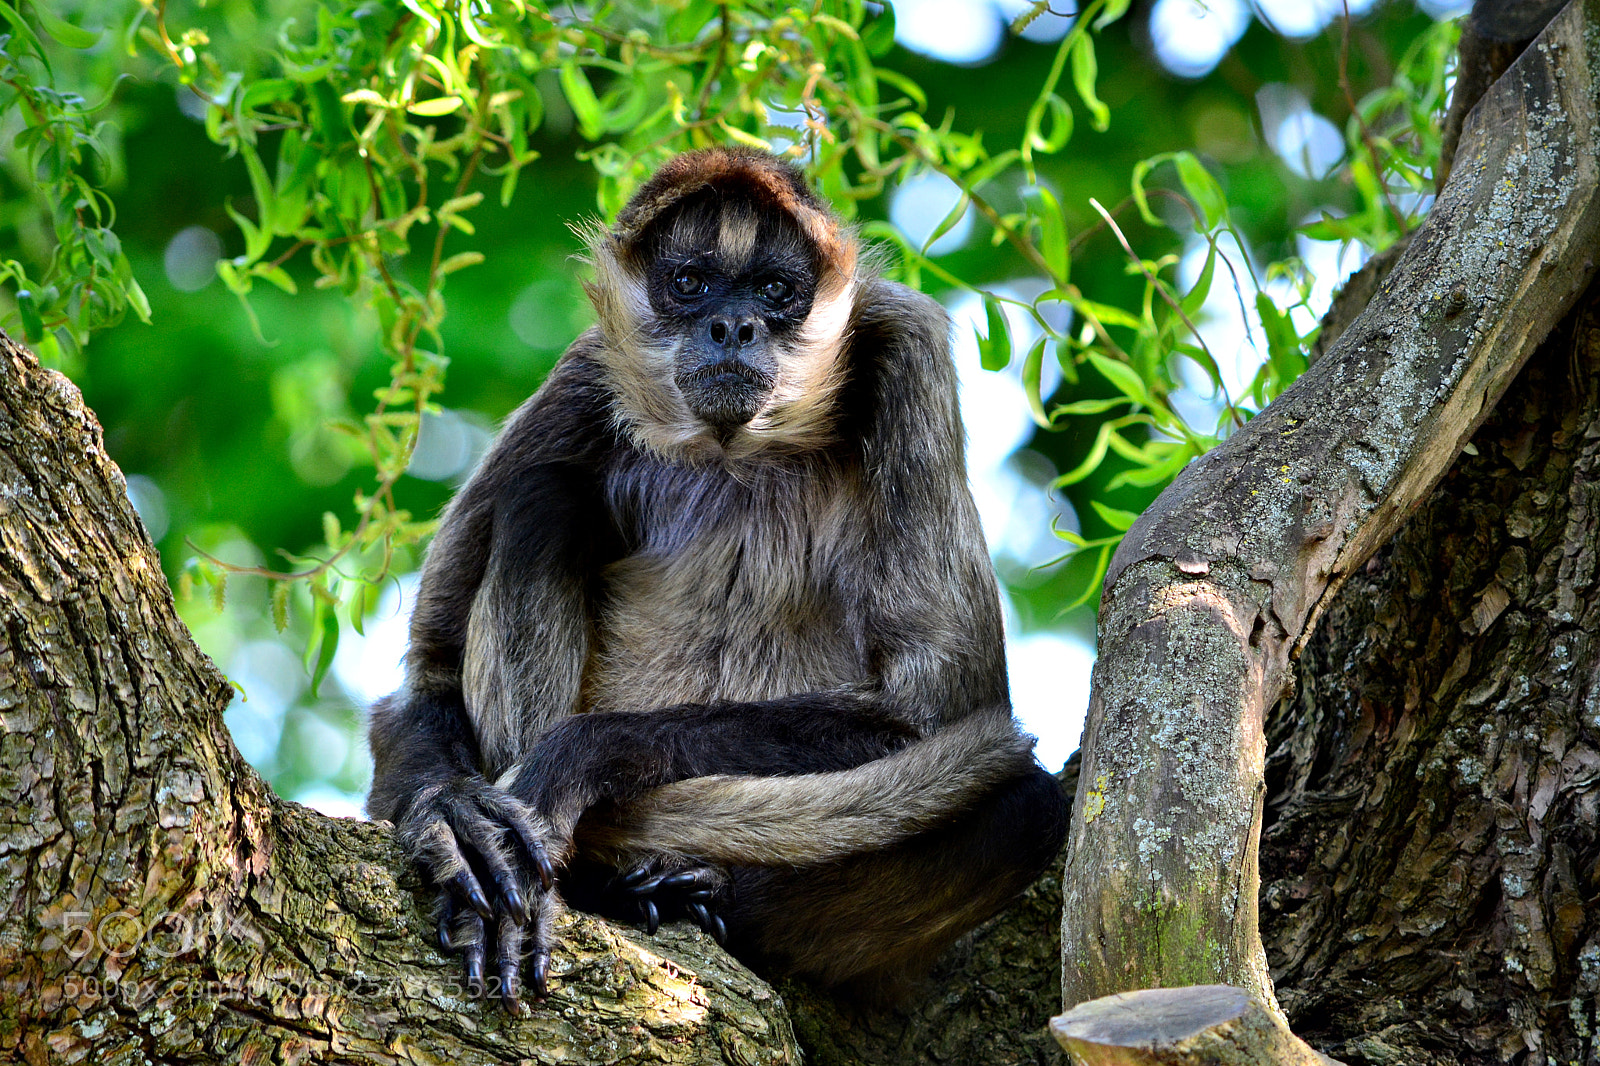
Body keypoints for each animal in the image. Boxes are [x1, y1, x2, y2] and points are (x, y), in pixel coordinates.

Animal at [366, 146, 1070, 1009]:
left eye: (774, 291)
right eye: (691, 281)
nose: (732, 325)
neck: (736, 449)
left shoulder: (907, 342)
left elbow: (932, 707)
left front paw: (580, 758)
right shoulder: (586, 371)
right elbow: (423, 680)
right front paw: (451, 814)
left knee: (1025, 810)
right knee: (542, 494)